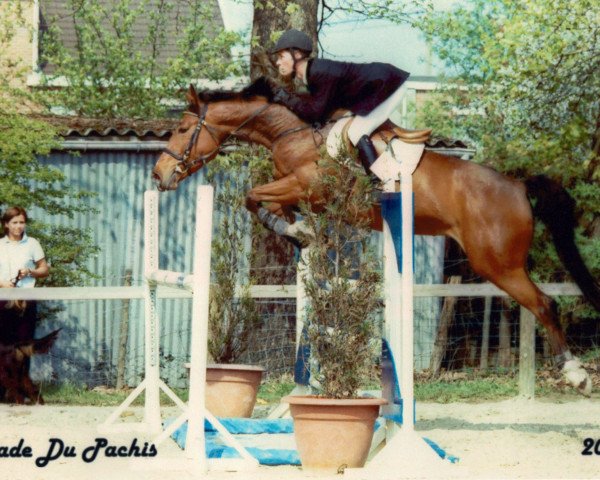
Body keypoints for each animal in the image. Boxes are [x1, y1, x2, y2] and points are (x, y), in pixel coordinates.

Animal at [154, 78, 600, 394]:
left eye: (182, 128)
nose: (159, 175)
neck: (292, 135)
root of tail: (518, 186)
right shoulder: (299, 193)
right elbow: (266, 204)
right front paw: (300, 233)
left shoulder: (306, 186)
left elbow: (253, 195)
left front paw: (295, 230)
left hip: (497, 263)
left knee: (544, 304)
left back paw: (576, 374)